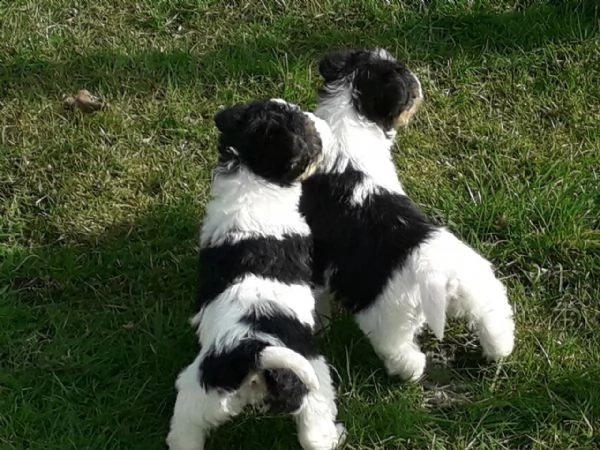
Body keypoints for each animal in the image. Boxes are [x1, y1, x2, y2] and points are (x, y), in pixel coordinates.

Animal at [168, 99, 346, 450]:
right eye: (310, 137)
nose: (324, 126)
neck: (254, 178)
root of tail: (251, 354)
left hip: (198, 390)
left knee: (185, 430)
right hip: (312, 379)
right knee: (313, 434)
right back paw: (337, 435)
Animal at [302, 50, 512, 380]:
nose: (419, 84)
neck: (349, 121)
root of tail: (438, 275)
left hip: (389, 320)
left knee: (402, 354)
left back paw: (409, 375)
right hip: (479, 287)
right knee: (494, 322)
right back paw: (498, 352)